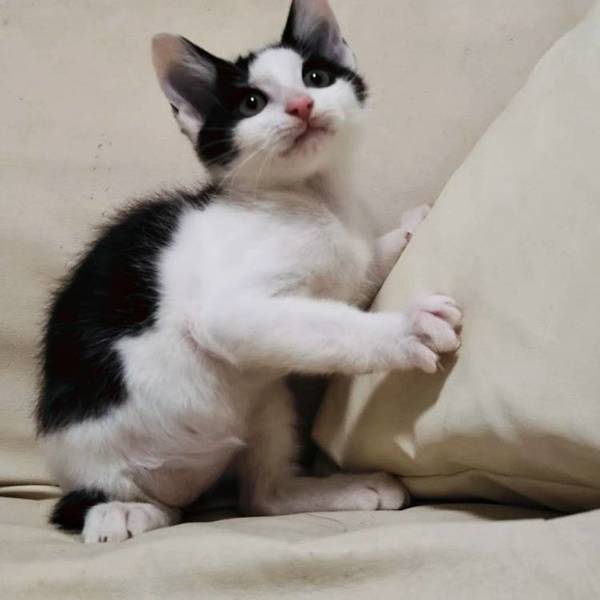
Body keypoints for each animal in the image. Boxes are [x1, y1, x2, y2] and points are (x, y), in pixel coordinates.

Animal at [36, 0, 462, 544]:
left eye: (316, 77)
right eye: (252, 103)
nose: (301, 105)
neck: (314, 198)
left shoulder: (342, 266)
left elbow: (359, 270)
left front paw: (406, 229)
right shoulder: (226, 310)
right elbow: (333, 324)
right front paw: (408, 329)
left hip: (264, 404)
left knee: (260, 497)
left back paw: (342, 488)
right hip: (99, 459)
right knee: (92, 502)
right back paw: (122, 512)